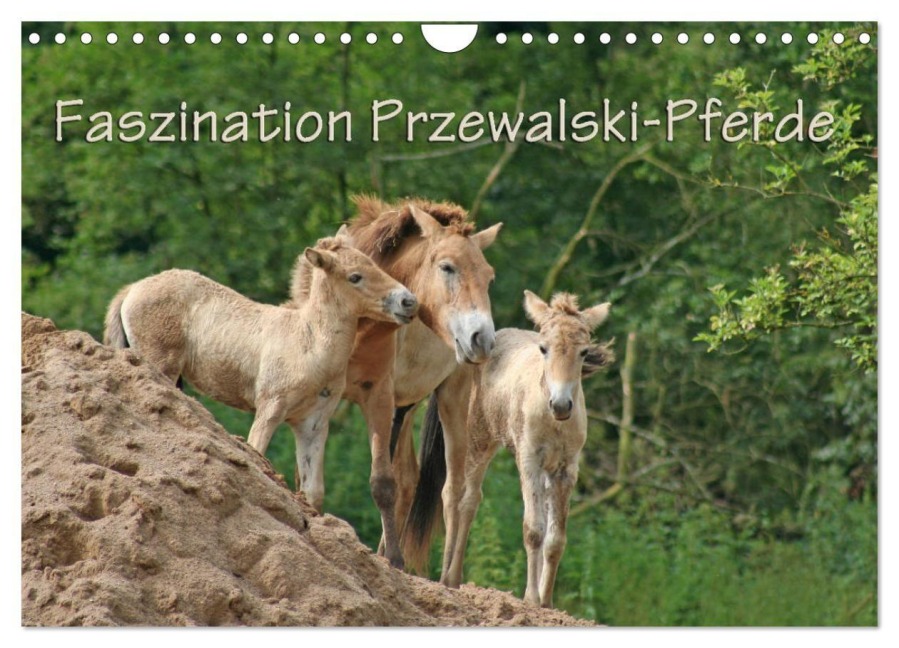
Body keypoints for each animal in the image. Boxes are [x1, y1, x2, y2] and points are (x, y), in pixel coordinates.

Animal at [103, 235, 418, 515]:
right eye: (355, 277)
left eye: (373, 264)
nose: (409, 302)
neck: (309, 342)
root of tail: (132, 289)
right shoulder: (270, 408)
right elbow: (257, 454)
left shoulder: (313, 423)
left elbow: (312, 492)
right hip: (160, 365)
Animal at [286, 196, 502, 569]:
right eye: (447, 267)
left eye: (489, 278)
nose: (482, 339)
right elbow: (307, 473)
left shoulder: (380, 398)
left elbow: (382, 483)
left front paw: (395, 561)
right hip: (405, 407)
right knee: (409, 479)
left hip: (450, 399)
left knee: (454, 493)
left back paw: (447, 576)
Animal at [404, 290, 614, 608]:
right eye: (543, 349)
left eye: (584, 352)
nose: (561, 405)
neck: (551, 418)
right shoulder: (528, 461)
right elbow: (533, 530)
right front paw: (530, 599)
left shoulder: (565, 469)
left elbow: (555, 539)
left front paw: (547, 603)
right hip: (476, 442)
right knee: (460, 498)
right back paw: (449, 578)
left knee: (471, 500)